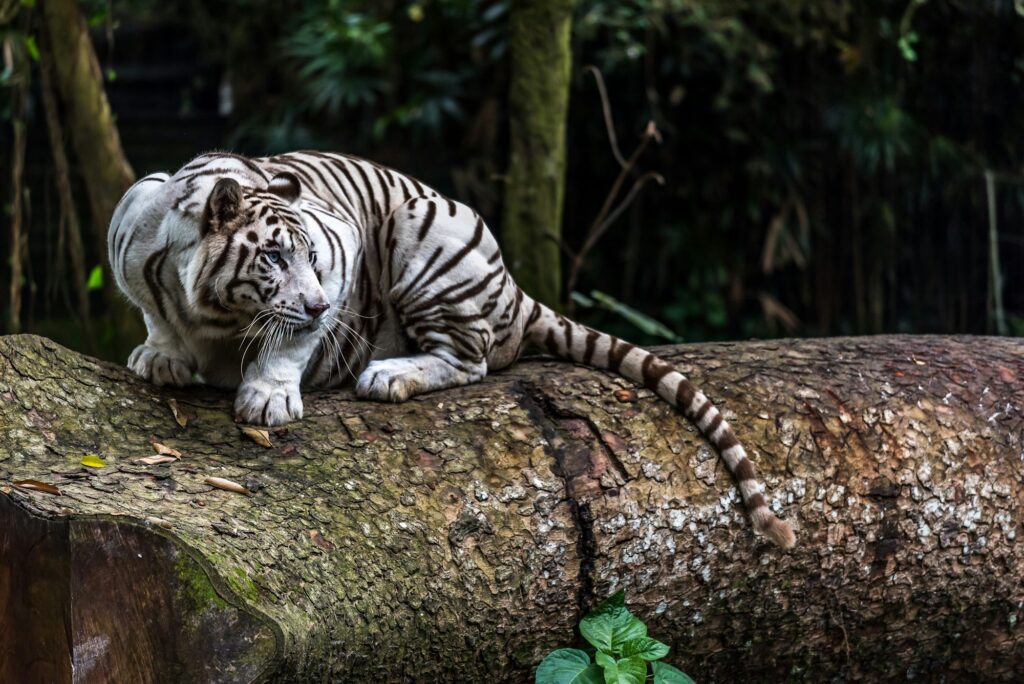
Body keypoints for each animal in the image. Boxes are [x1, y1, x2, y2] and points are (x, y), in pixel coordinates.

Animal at [110, 152, 798, 548]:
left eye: (311, 257)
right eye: (274, 256)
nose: (320, 307)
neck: (212, 310)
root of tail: (513, 285)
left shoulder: (340, 248)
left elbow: (288, 344)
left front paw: (267, 397)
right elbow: (155, 315)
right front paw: (162, 355)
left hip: (423, 226)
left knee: (470, 358)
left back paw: (387, 375)